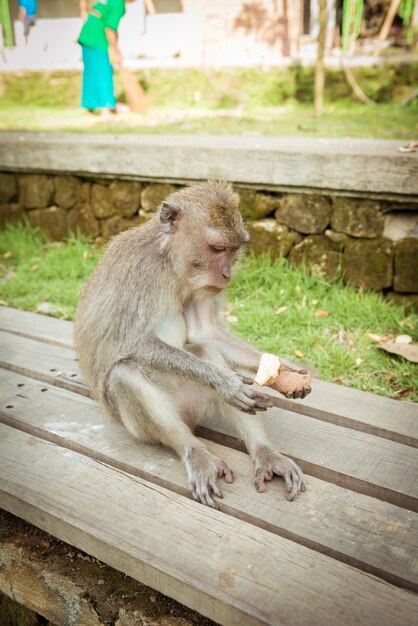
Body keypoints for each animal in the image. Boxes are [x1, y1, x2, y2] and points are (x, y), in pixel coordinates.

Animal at [75, 179, 308, 508]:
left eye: (234, 250)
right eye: (217, 248)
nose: (227, 275)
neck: (169, 263)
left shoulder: (200, 285)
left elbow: (205, 334)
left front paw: (285, 371)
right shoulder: (139, 273)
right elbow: (133, 344)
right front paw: (225, 383)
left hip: (197, 402)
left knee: (207, 351)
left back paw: (265, 453)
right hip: (140, 426)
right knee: (124, 374)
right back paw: (195, 452)